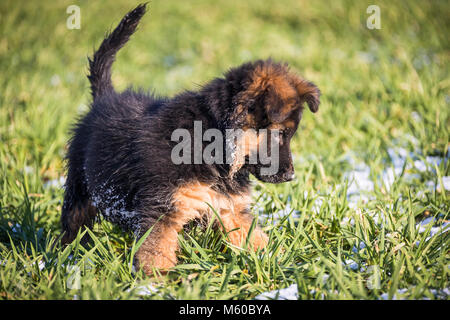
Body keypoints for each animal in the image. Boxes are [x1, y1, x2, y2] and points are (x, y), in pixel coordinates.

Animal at [60, 4, 320, 276]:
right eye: (280, 134)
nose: (291, 176)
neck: (212, 143)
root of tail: (103, 98)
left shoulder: (230, 207)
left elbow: (255, 238)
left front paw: (283, 263)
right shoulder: (163, 209)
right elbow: (156, 253)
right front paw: (152, 282)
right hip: (80, 189)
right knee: (73, 225)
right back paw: (68, 257)